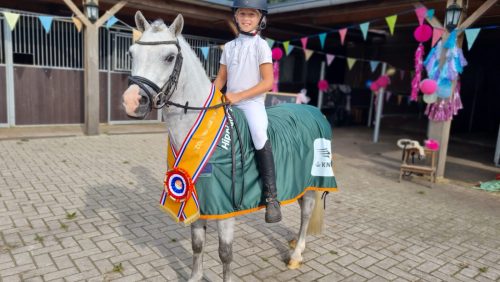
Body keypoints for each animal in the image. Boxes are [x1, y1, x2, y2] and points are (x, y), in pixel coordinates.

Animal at [121, 12, 336, 280]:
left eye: (169, 57)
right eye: (132, 53)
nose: (132, 102)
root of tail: (313, 110)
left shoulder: (225, 208)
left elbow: (225, 253)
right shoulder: (197, 198)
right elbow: (197, 244)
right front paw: (195, 277)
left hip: (312, 181)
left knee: (306, 213)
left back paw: (296, 256)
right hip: (300, 182)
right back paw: (296, 243)